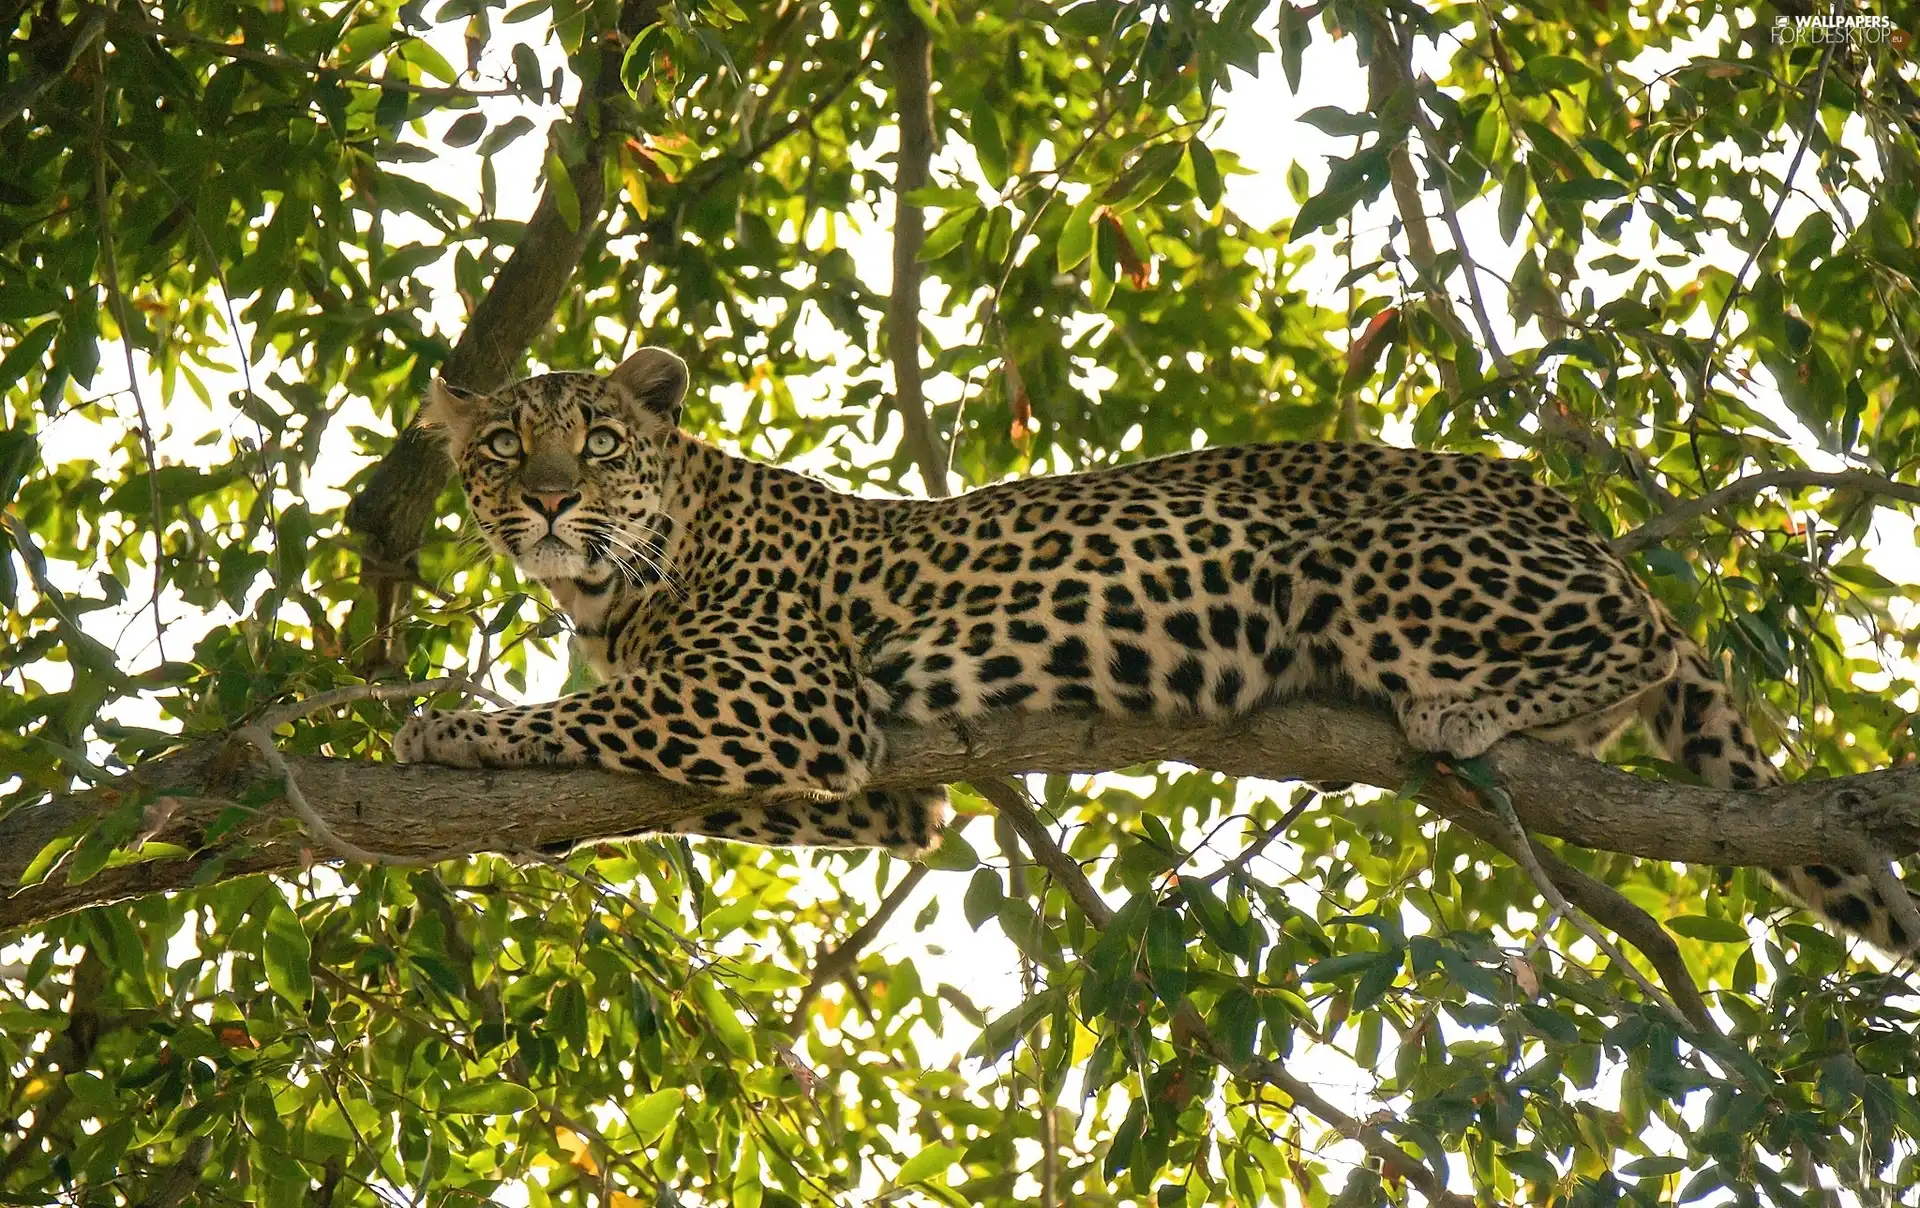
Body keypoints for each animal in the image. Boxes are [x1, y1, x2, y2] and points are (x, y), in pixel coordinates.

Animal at [397, 343, 1912, 956]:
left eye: (596, 441)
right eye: (500, 448)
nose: (548, 503)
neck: (611, 595)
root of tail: (1565, 504)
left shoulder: (789, 694)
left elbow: (576, 713)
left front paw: (441, 728)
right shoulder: (882, 794)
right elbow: (655, 773)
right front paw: (531, 819)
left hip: (1369, 561)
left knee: (1640, 635)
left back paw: (1470, 711)